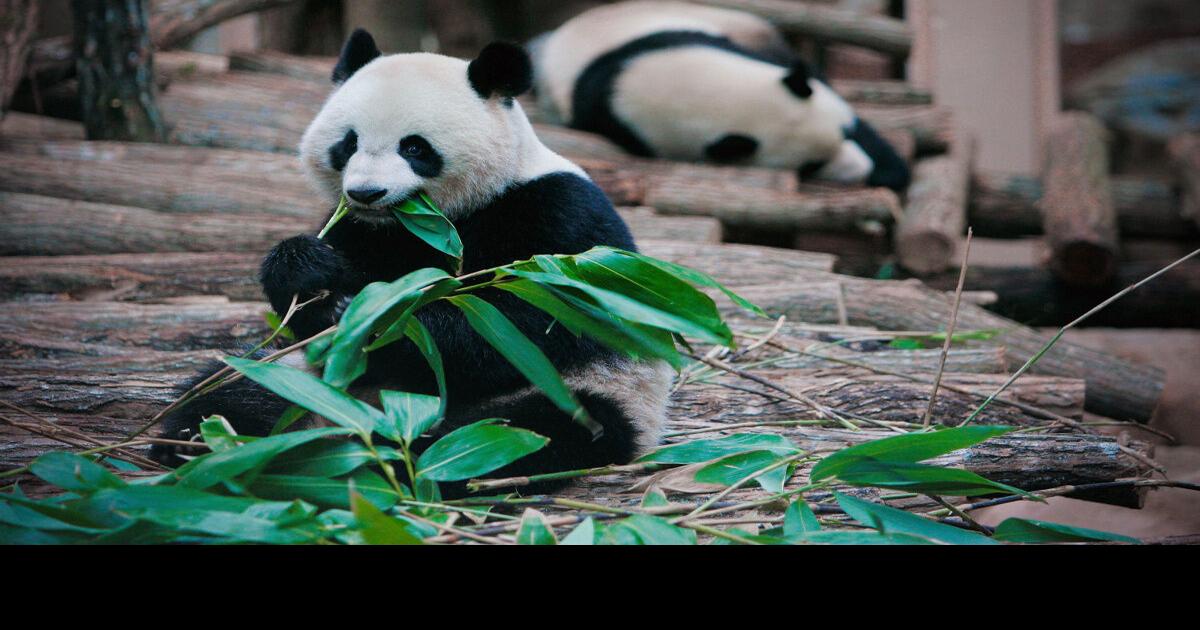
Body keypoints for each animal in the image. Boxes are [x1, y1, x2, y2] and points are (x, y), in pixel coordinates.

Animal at [149, 30, 673, 496]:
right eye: (348, 143)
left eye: (415, 147)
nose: (366, 192)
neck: (438, 217)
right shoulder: (365, 230)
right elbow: (309, 302)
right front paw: (310, 275)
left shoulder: (557, 216)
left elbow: (529, 320)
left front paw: (382, 324)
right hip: (300, 380)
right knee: (235, 390)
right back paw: (199, 440)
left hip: (585, 393)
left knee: (526, 429)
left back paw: (401, 461)